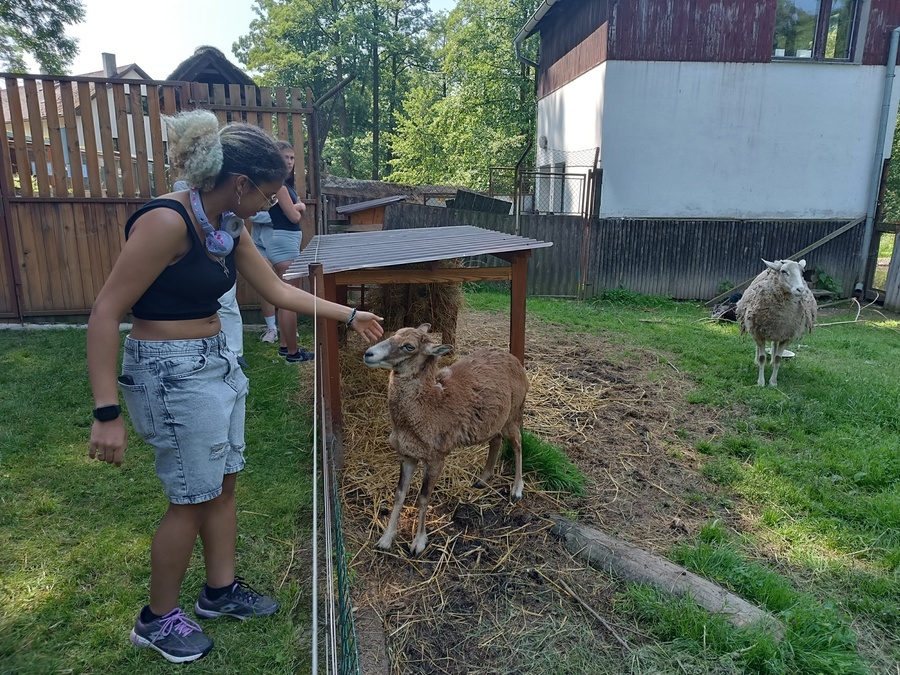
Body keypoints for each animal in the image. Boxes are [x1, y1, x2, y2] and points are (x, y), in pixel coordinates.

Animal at [363, 324, 529, 556]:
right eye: (394, 333)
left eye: (409, 346)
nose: (368, 354)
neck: (430, 405)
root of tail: (515, 360)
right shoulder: (407, 455)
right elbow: (399, 493)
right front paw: (385, 540)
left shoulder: (436, 457)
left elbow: (423, 497)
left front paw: (418, 544)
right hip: (493, 421)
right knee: (495, 440)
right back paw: (482, 480)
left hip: (513, 416)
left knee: (518, 444)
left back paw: (516, 490)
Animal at [736, 259, 817, 387]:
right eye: (783, 271)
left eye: (802, 272)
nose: (800, 289)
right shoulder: (758, 333)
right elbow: (762, 357)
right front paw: (761, 382)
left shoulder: (786, 335)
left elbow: (779, 358)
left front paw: (773, 382)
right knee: (759, 348)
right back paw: (756, 361)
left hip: (777, 332)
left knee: (774, 344)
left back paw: (772, 362)